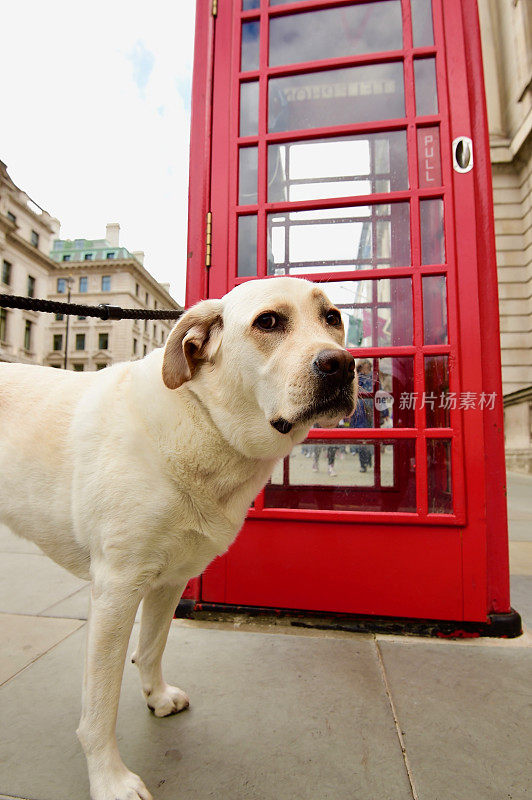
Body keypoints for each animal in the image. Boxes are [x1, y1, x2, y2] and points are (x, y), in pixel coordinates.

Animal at [2, 276, 358, 800]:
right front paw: (109, 779)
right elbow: (100, 703)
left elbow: (152, 647)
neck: (205, 422)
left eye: (332, 317)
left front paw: (157, 697)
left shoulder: (170, 579)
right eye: (268, 321)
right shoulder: (116, 588)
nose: (343, 365)